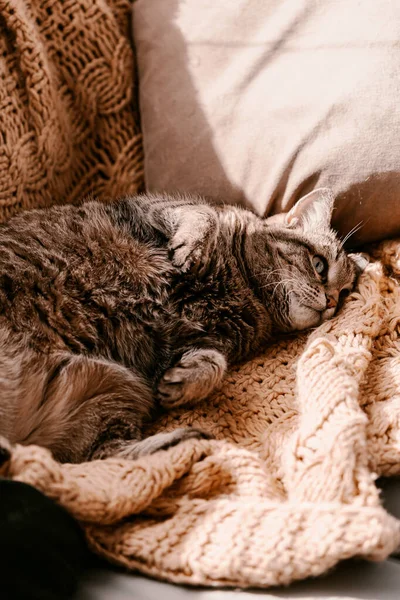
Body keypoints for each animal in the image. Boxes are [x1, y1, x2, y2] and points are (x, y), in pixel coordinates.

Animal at [0, 188, 360, 464]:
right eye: (319, 265)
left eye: (345, 293)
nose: (331, 303)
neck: (246, 285)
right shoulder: (154, 206)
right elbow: (202, 215)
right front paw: (191, 249)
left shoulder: (198, 342)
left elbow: (214, 364)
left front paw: (185, 381)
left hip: (113, 388)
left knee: (99, 460)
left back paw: (183, 440)